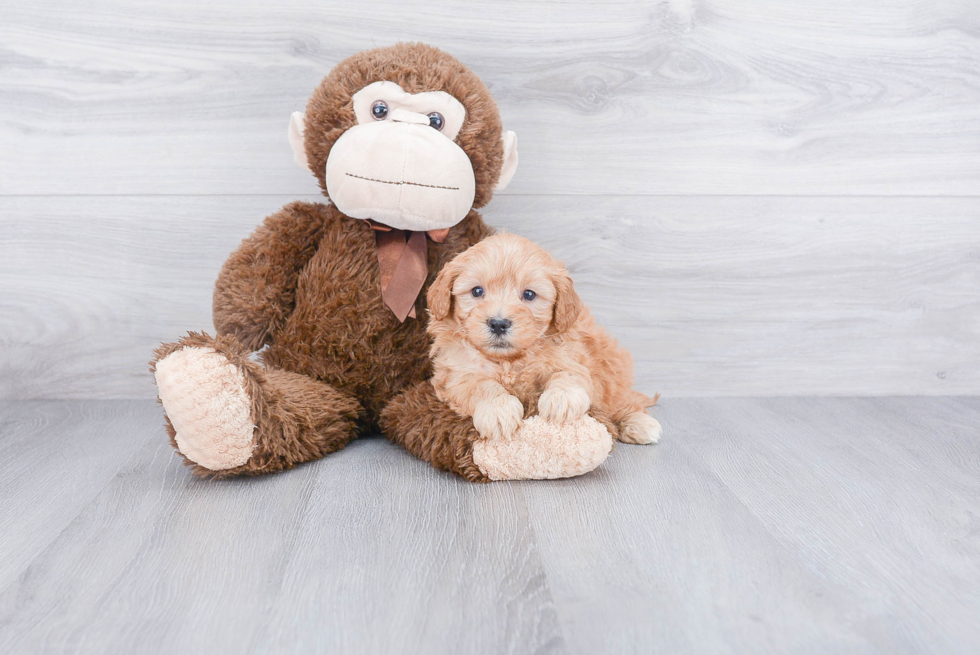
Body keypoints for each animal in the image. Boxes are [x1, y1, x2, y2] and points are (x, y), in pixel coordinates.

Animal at [424, 232, 664, 446]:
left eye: (529, 295)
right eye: (476, 291)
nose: (499, 323)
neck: (509, 361)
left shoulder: (572, 358)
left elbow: (568, 374)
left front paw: (562, 399)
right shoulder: (454, 375)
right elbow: (479, 385)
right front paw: (498, 410)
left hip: (612, 365)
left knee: (622, 400)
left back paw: (639, 423)